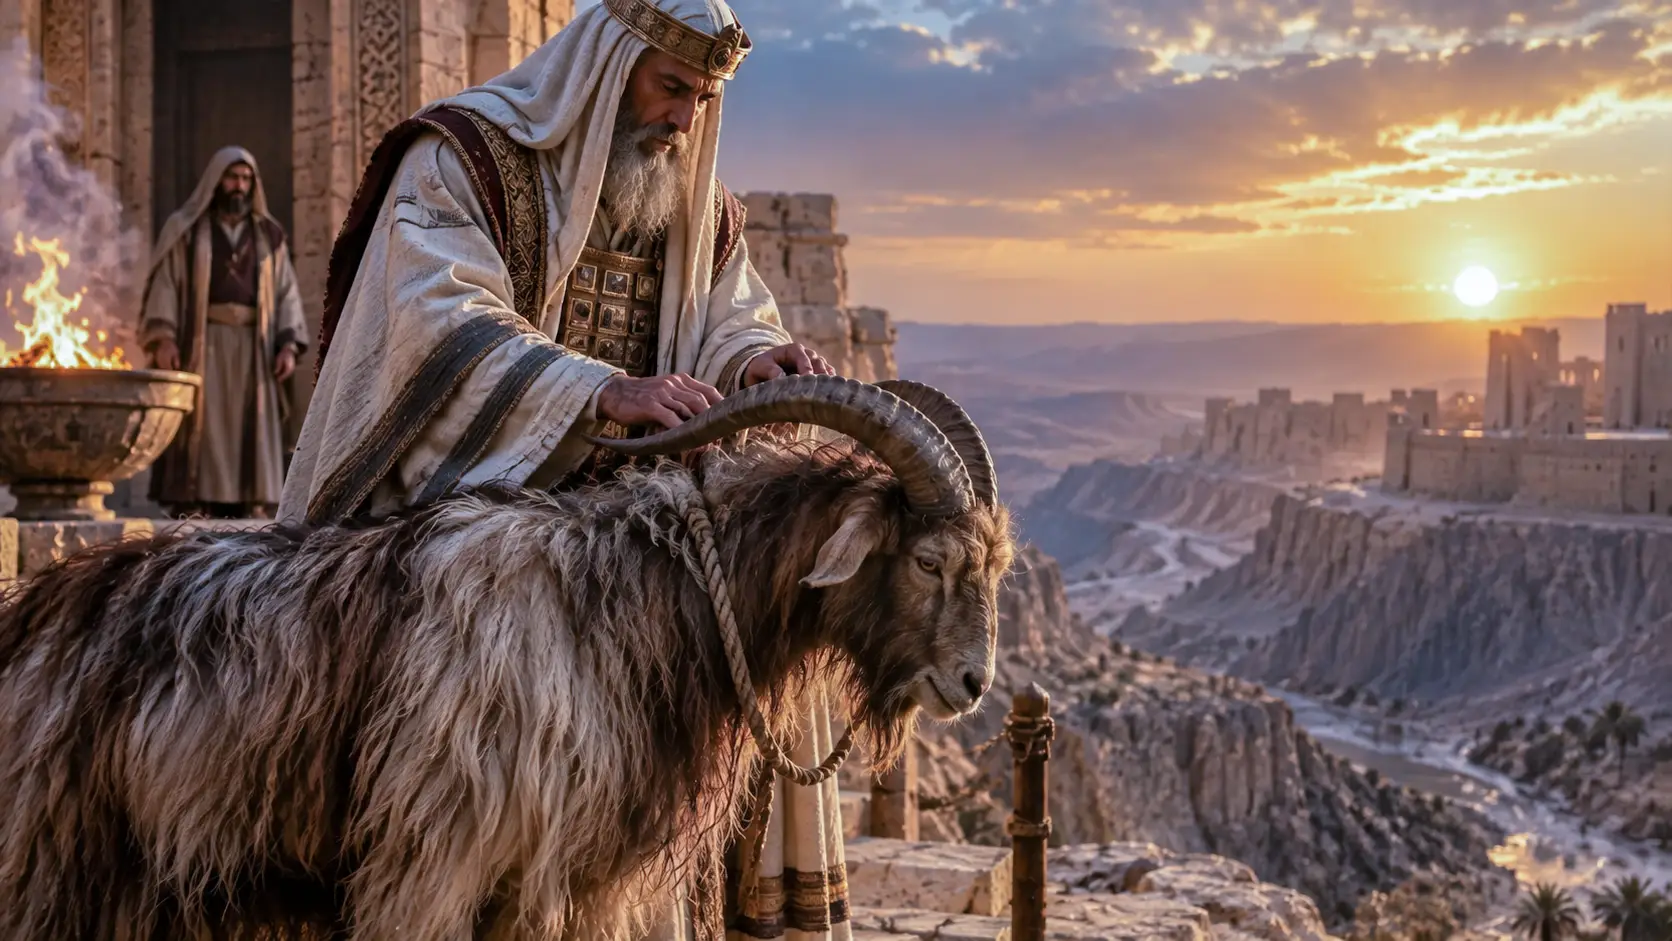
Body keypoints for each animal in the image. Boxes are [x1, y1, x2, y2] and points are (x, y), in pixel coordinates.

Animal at [0, 376, 1013, 941]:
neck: (622, 600)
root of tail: (35, 619)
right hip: (52, 863)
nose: (972, 685)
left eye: (993, 564)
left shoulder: (557, 887)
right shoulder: (432, 869)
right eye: (930, 560)